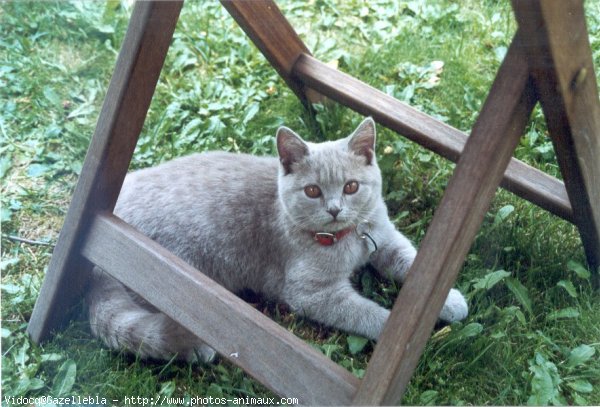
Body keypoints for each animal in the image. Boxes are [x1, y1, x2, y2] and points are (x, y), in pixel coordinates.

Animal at [88, 118, 468, 364]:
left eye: (351, 186)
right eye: (313, 191)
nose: (334, 209)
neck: (347, 240)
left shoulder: (384, 238)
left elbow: (411, 261)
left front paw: (448, 301)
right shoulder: (312, 294)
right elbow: (366, 314)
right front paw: (401, 336)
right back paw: (194, 346)